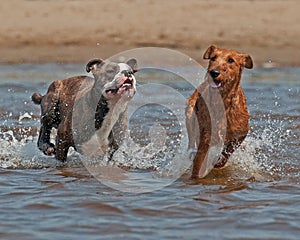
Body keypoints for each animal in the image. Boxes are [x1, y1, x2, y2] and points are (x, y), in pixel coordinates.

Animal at [186, 46, 252, 179]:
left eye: (231, 60)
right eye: (213, 58)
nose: (214, 72)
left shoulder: (241, 133)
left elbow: (229, 150)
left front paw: (219, 163)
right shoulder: (206, 137)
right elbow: (198, 162)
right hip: (189, 114)